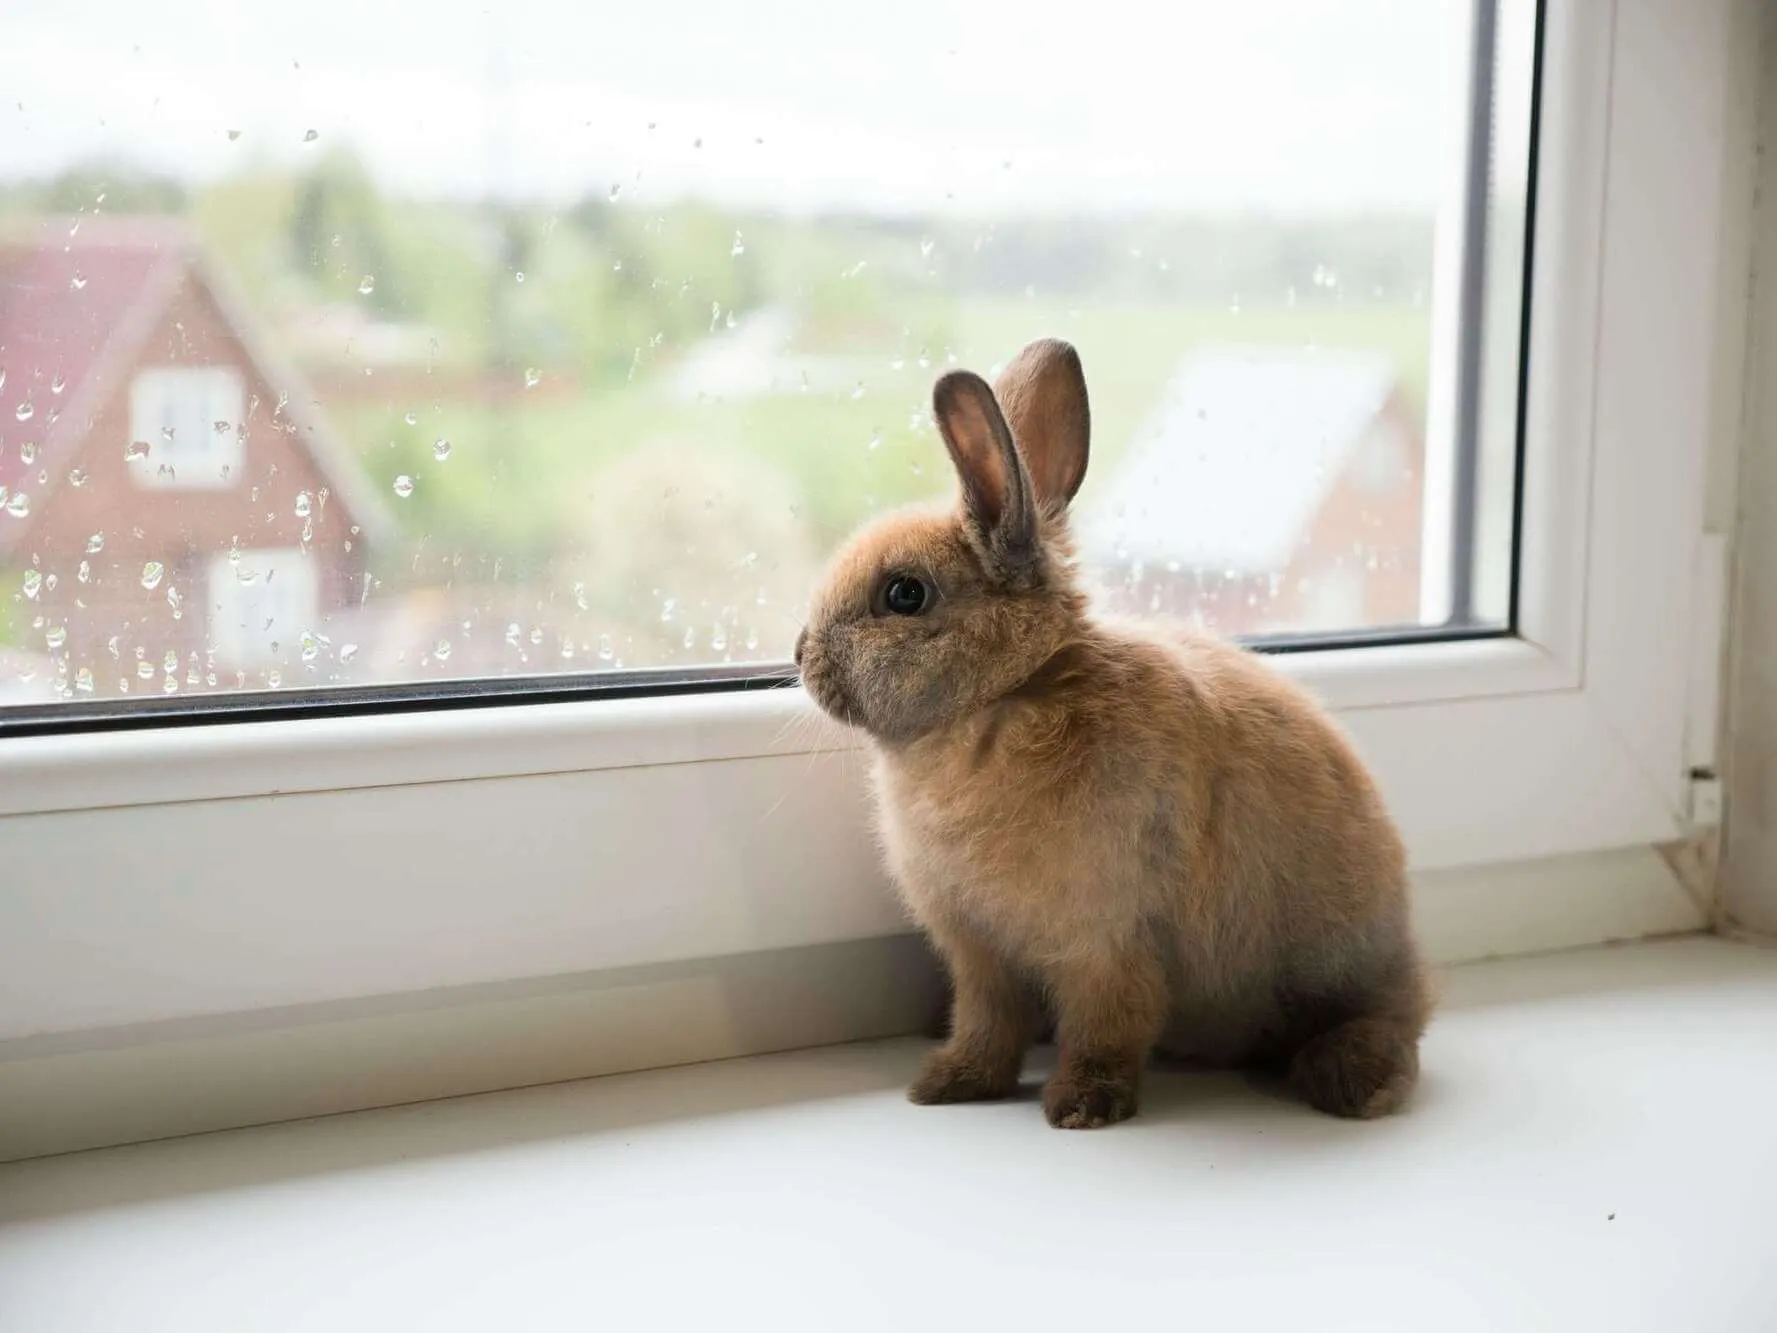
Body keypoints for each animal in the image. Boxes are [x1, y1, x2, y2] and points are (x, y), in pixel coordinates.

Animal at [795, 337, 1430, 1129]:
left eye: (904, 593)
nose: (799, 654)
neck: (1004, 697)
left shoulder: (1105, 942)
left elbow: (1110, 1023)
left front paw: (1081, 1106)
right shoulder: (980, 954)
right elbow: (986, 1023)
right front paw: (947, 1084)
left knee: (1393, 1023)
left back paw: (1351, 1080)